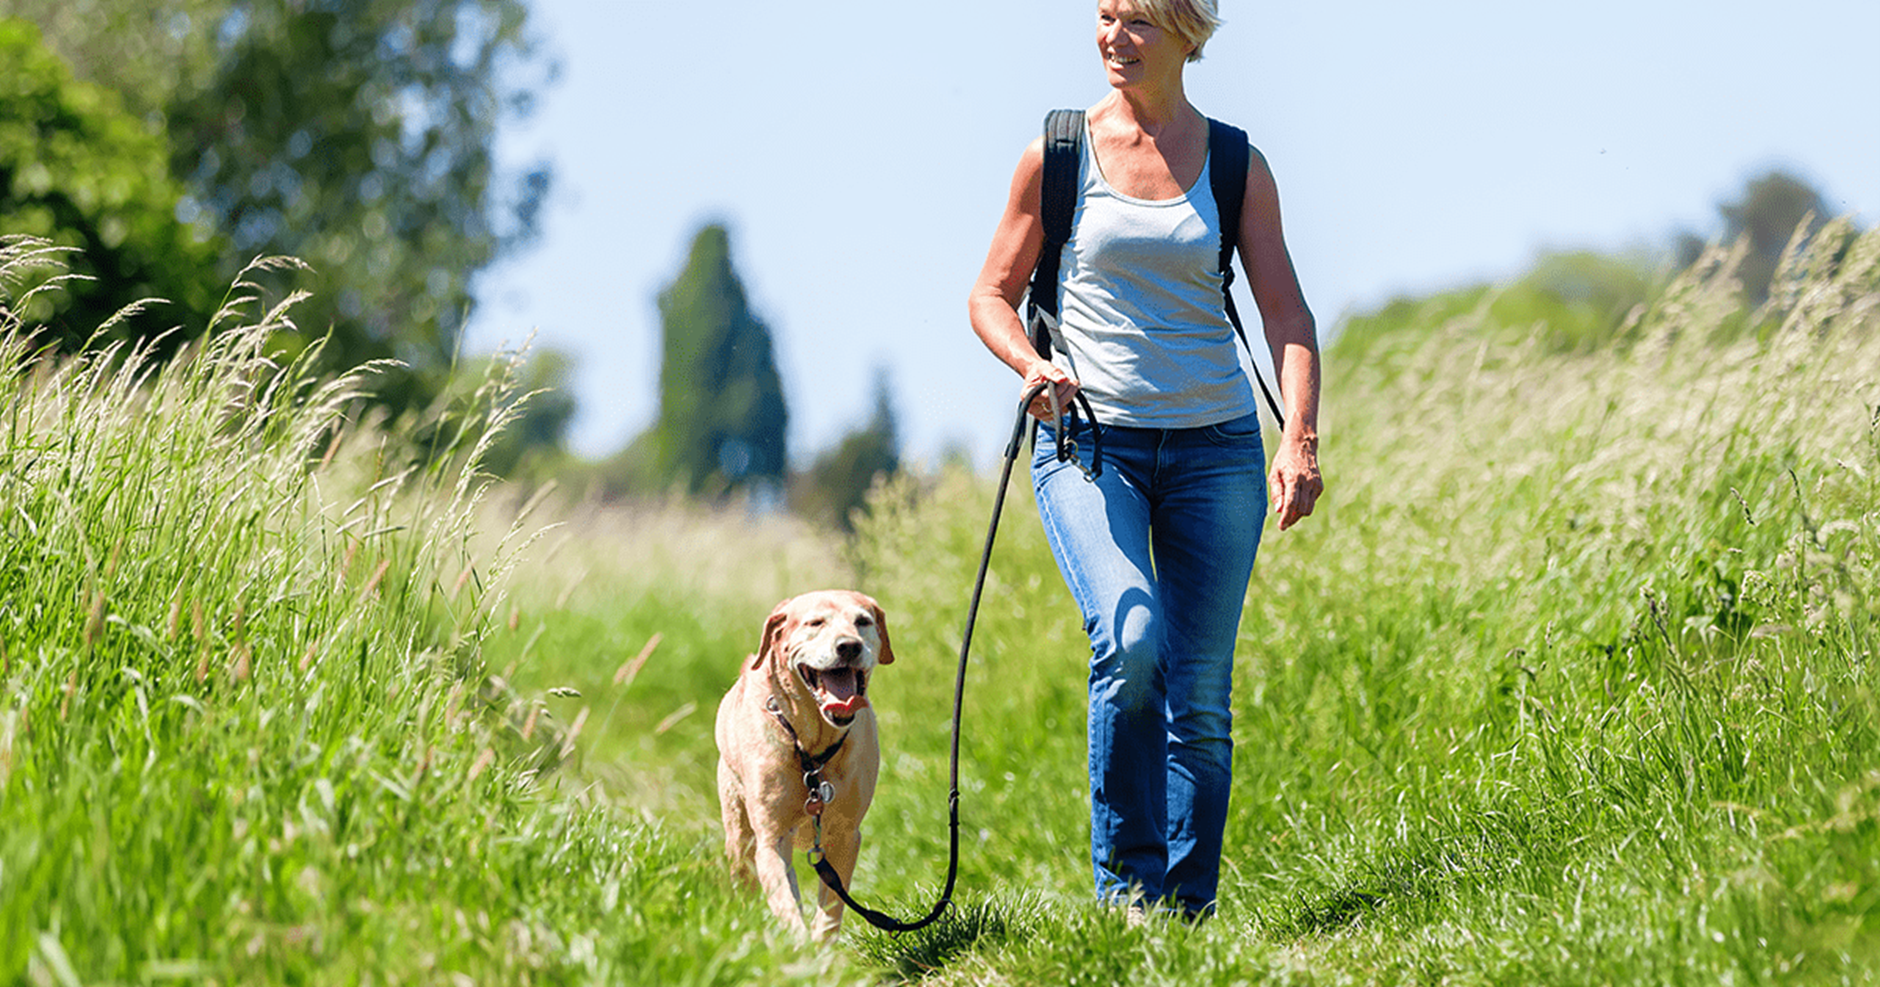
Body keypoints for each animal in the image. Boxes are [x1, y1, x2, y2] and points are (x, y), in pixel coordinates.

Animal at [718, 590, 894, 936]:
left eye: (862, 621)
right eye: (815, 623)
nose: (849, 646)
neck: (812, 748)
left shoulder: (846, 837)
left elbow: (830, 912)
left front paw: (819, 945)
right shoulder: (771, 841)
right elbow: (787, 908)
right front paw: (798, 945)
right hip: (739, 834)